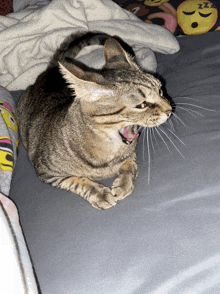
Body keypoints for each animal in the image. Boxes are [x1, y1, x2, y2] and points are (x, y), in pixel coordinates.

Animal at [16, 32, 172, 209]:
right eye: (142, 105)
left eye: (160, 91)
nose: (169, 110)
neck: (111, 149)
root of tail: (51, 70)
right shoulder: (47, 172)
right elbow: (76, 181)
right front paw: (99, 194)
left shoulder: (130, 152)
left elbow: (130, 165)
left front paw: (124, 184)